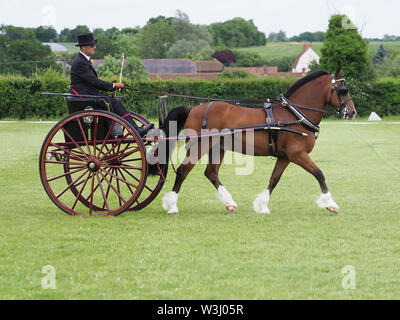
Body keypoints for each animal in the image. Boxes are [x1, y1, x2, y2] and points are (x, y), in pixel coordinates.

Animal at [159, 70, 356, 215]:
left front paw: (262, 205)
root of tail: (194, 109)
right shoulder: (297, 154)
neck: (295, 115)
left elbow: (274, 179)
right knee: (183, 171)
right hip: (199, 147)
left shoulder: (285, 157)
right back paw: (172, 206)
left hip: (218, 148)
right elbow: (319, 174)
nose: (352, 112)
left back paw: (229, 203)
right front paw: (330, 204)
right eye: (343, 90)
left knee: (211, 173)